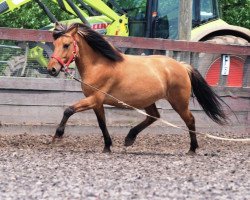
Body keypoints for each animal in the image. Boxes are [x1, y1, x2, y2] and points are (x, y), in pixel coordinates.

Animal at [47, 22, 229, 153]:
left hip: (179, 102)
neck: (99, 65)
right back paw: (130, 138)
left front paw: (57, 135)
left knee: (190, 120)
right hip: (149, 100)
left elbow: (68, 110)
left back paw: (192, 149)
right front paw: (107, 146)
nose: (52, 69)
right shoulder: (97, 103)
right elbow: (102, 124)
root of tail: (183, 66)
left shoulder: (94, 99)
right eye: (55, 44)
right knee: (153, 116)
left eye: (66, 45)